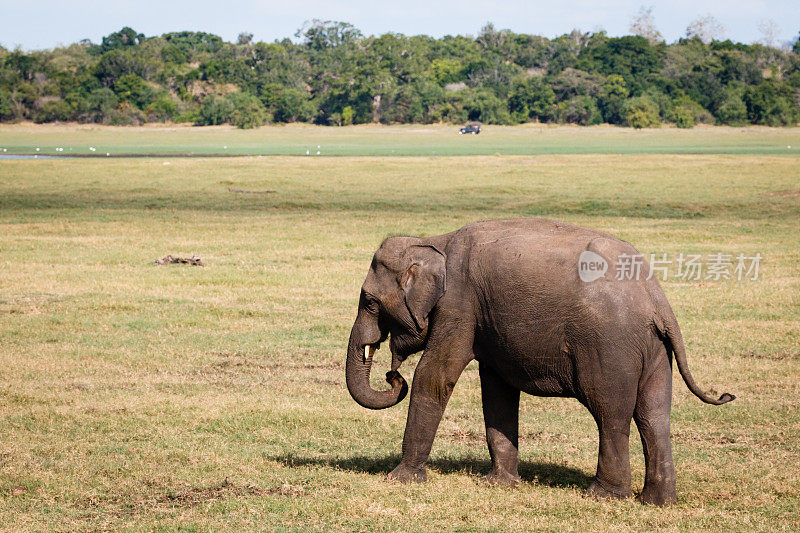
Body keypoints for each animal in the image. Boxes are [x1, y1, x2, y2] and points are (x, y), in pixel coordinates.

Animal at [344, 216, 732, 502]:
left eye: (369, 302)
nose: (393, 376)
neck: (435, 240)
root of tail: (656, 297)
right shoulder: (484, 319)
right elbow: (496, 390)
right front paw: (498, 484)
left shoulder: (458, 304)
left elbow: (435, 375)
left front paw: (400, 480)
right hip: (654, 350)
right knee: (654, 414)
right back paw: (657, 501)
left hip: (610, 347)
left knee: (610, 412)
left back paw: (603, 496)